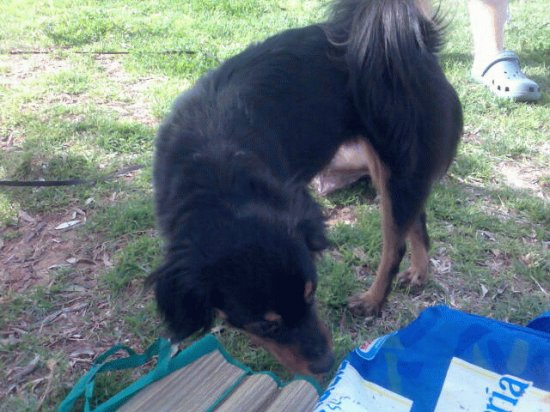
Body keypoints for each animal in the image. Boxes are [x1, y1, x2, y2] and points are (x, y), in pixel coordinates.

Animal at [147, 0, 463, 376]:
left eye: (311, 294)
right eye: (264, 325)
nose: (328, 363)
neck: (216, 173)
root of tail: (415, 42)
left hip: (395, 164)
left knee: (394, 243)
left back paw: (373, 300)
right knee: (417, 220)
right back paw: (420, 272)